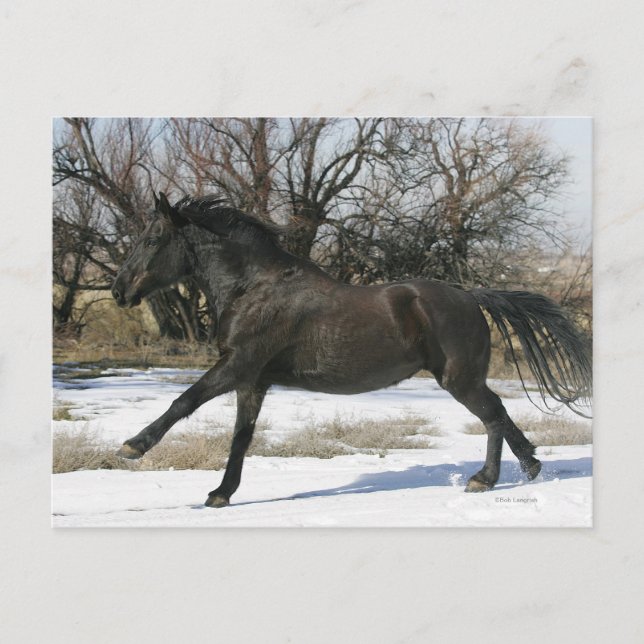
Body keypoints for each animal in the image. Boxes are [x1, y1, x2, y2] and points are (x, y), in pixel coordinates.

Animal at [111, 192, 592, 508]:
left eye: (152, 240)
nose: (119, 291)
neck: (253, 287)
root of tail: (471, 296)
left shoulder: (237, 365)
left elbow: (184, 401)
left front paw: (133, 447)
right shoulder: (254, 381)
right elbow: (241, 437)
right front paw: (220, 494)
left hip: (460, 379)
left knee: (492, 418)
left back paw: (484, 481)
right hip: (465, 378)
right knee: (502, 416)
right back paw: (530, 468)